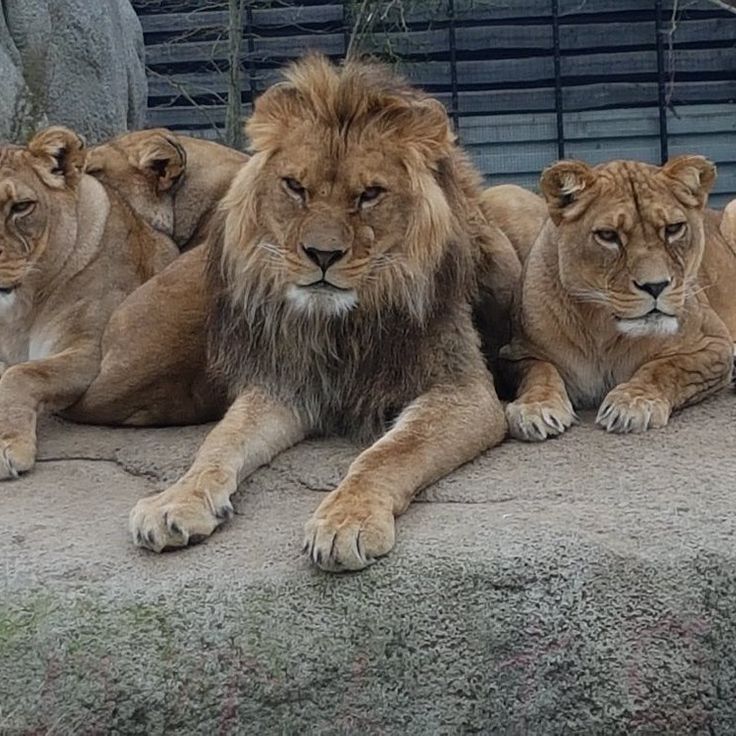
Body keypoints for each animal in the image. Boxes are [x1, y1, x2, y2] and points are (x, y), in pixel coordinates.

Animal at [127, 54, 512, 571]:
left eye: (370, 194)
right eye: (295, 187)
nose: (322, 255)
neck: (340, 326)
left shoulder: (463, 389)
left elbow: (390, 452)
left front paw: (347, 520)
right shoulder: (285, 380)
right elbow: (221, 440)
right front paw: (175, 500)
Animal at [501, 157, 734, 442]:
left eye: (673, 229)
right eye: (608, 235)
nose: (656, 286)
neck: (603, 331)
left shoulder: (714, 345)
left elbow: (665, 368)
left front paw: (634, 403)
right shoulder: (515, 353)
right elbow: (538, 371)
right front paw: (536, 406)